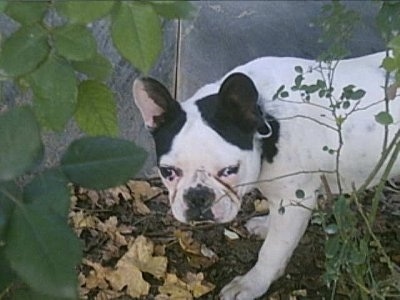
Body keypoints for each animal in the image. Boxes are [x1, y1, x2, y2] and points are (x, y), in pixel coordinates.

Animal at [132, 52, 400, 298]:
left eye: (230, 170)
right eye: (168, 171)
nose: (198, 196)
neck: (266, 117)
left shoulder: (295, 200)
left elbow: (273, 249)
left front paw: (251, 283)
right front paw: (266, 224)